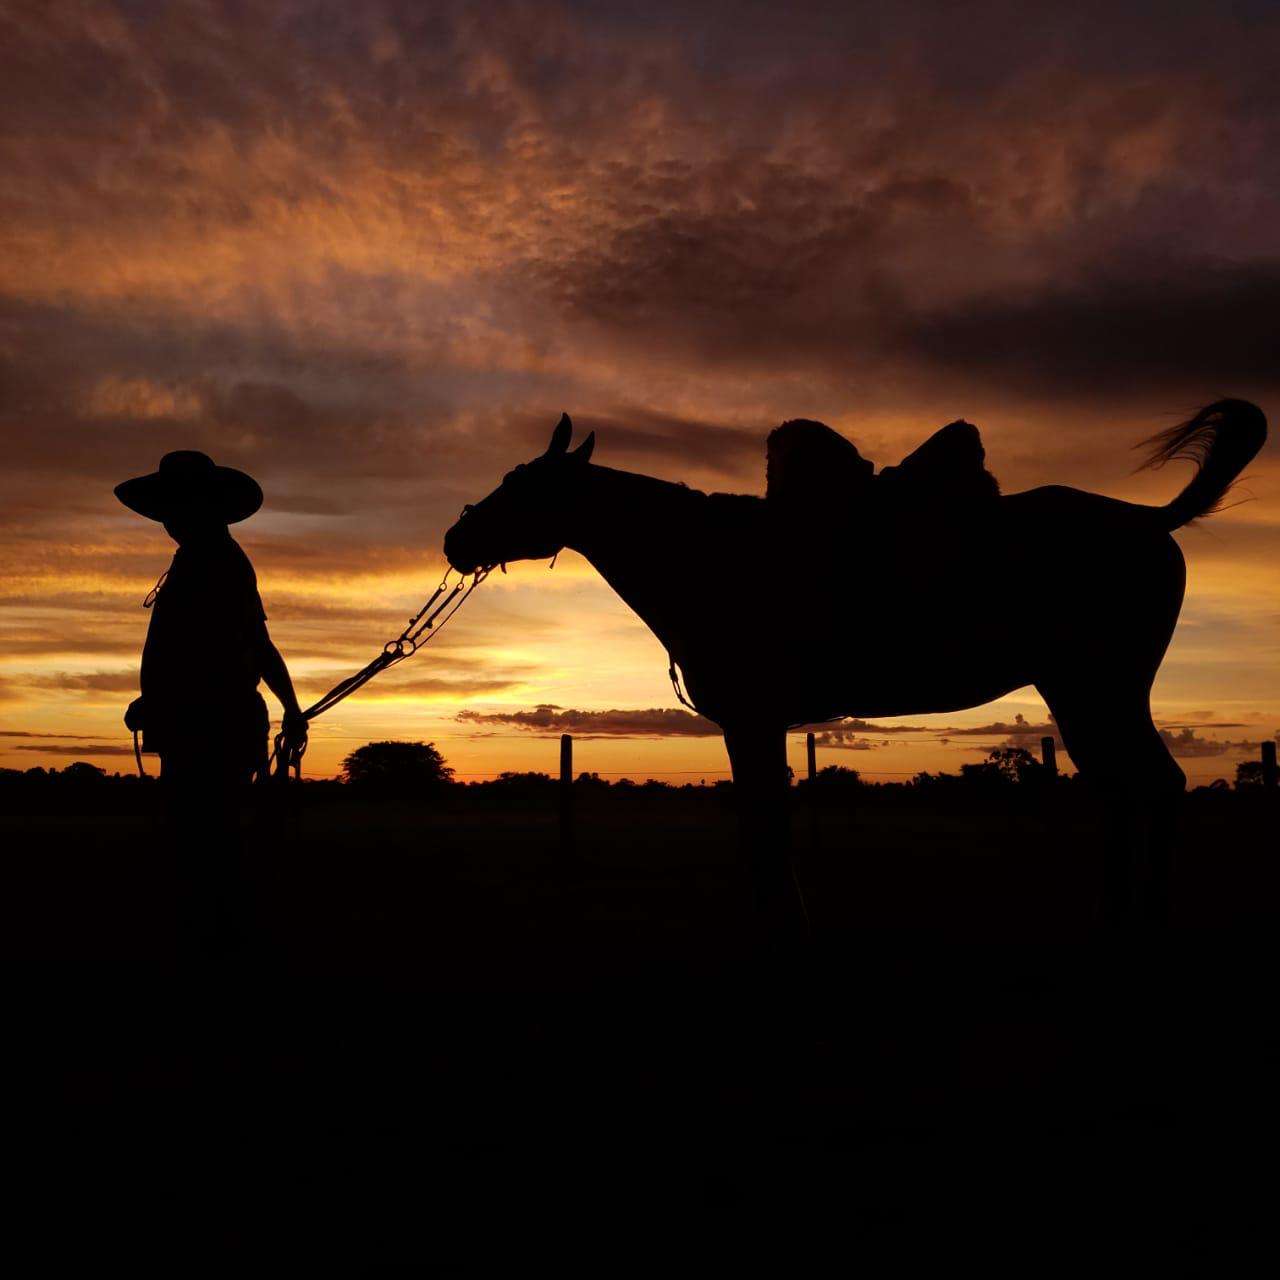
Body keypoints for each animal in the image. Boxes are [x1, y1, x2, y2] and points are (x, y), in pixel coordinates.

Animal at [444, 401, 1267, 930]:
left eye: (521, 482)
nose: (456, 540)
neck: (709, 559)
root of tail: (1149, 521)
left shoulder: (752, 720)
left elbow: (765, 833)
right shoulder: (758, 723)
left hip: (1101, 684)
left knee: (1155, 782)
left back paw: (1145, 913)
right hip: (1083, 689)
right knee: (1122, 785)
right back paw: (1115, 909)